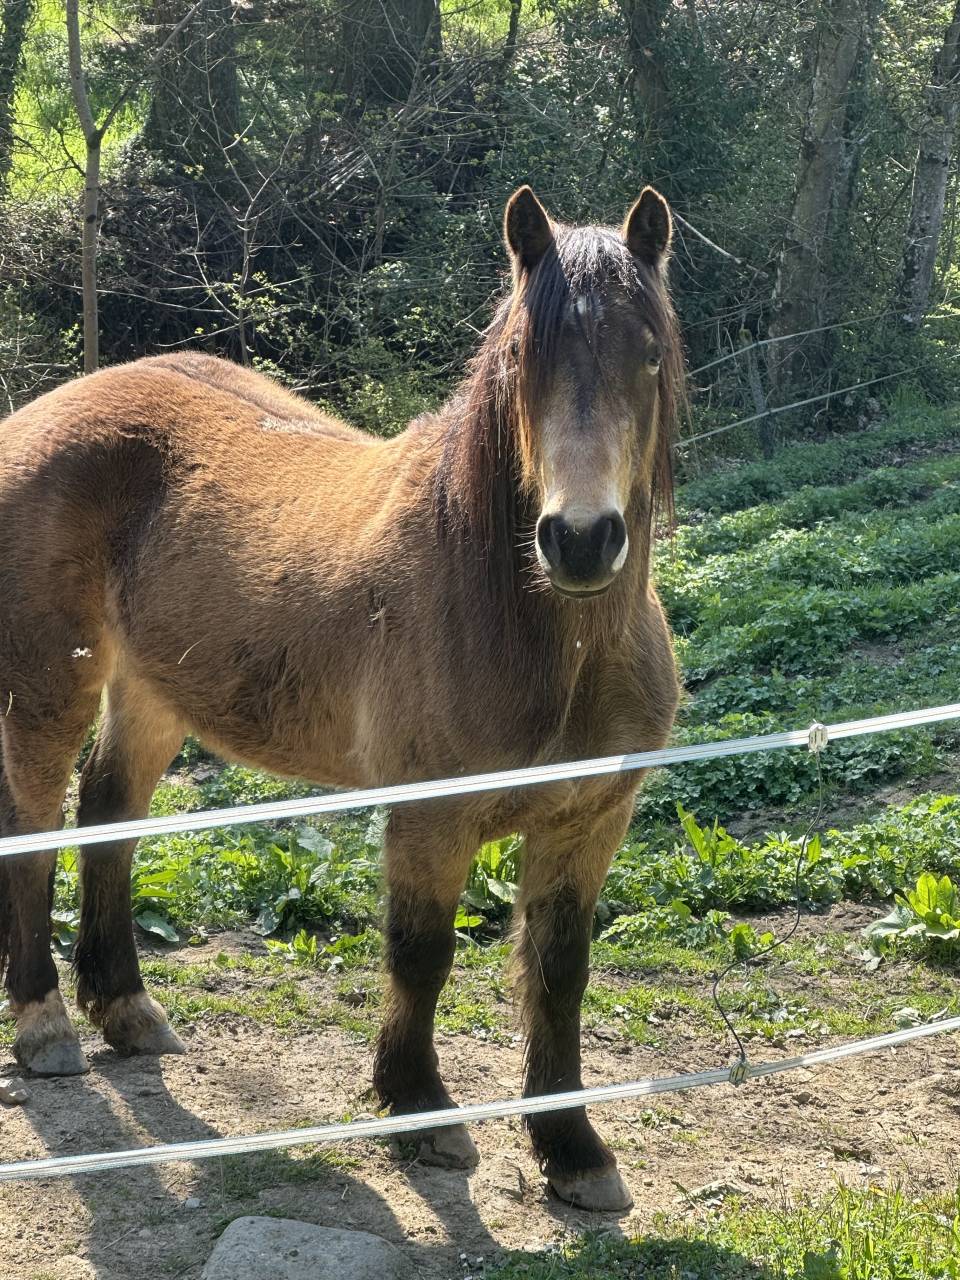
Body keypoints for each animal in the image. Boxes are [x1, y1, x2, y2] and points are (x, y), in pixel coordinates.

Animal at [0, 184, 683, 1211]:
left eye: (648, 353)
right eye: (523, 360)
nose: (579, 539)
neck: (548, 640)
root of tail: (36, 417)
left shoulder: (588, 822)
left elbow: (559, 973)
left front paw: (573, 1151)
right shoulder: (429, 819)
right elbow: (421, 955)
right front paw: (419, 1110)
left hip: (154, 693)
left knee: (109, 815)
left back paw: (126, 1008)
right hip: (50, 689)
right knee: (37, 830)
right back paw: (45, 1025)